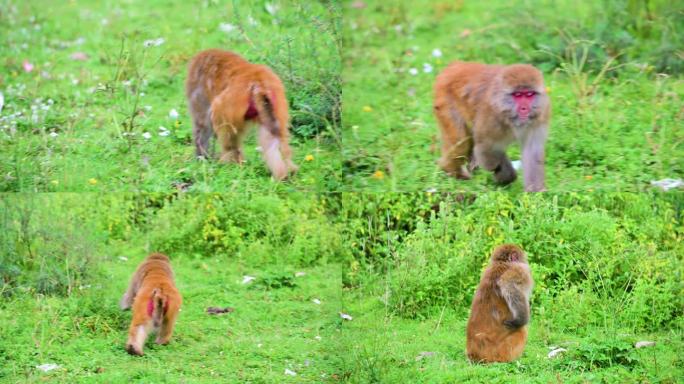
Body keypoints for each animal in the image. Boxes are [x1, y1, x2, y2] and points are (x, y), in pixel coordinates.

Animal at [186, 50, 298, 182]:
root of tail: (258, 82)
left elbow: (202, 125)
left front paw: (201, 157)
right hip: (275, 100)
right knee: (272, 137)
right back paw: (284, 173)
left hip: (230, 103)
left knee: (223, 128)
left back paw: (231, 163)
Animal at [436, 61, 552, 192]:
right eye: (518, 95)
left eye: (529, 94)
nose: (524, 108)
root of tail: (455, 65)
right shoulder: (490, 115)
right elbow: (486, 146)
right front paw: (502, 172)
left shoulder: (541, 113)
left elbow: (532, 150)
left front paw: (535, 191)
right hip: (444, 100)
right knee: (461, 141)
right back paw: (451, 170)